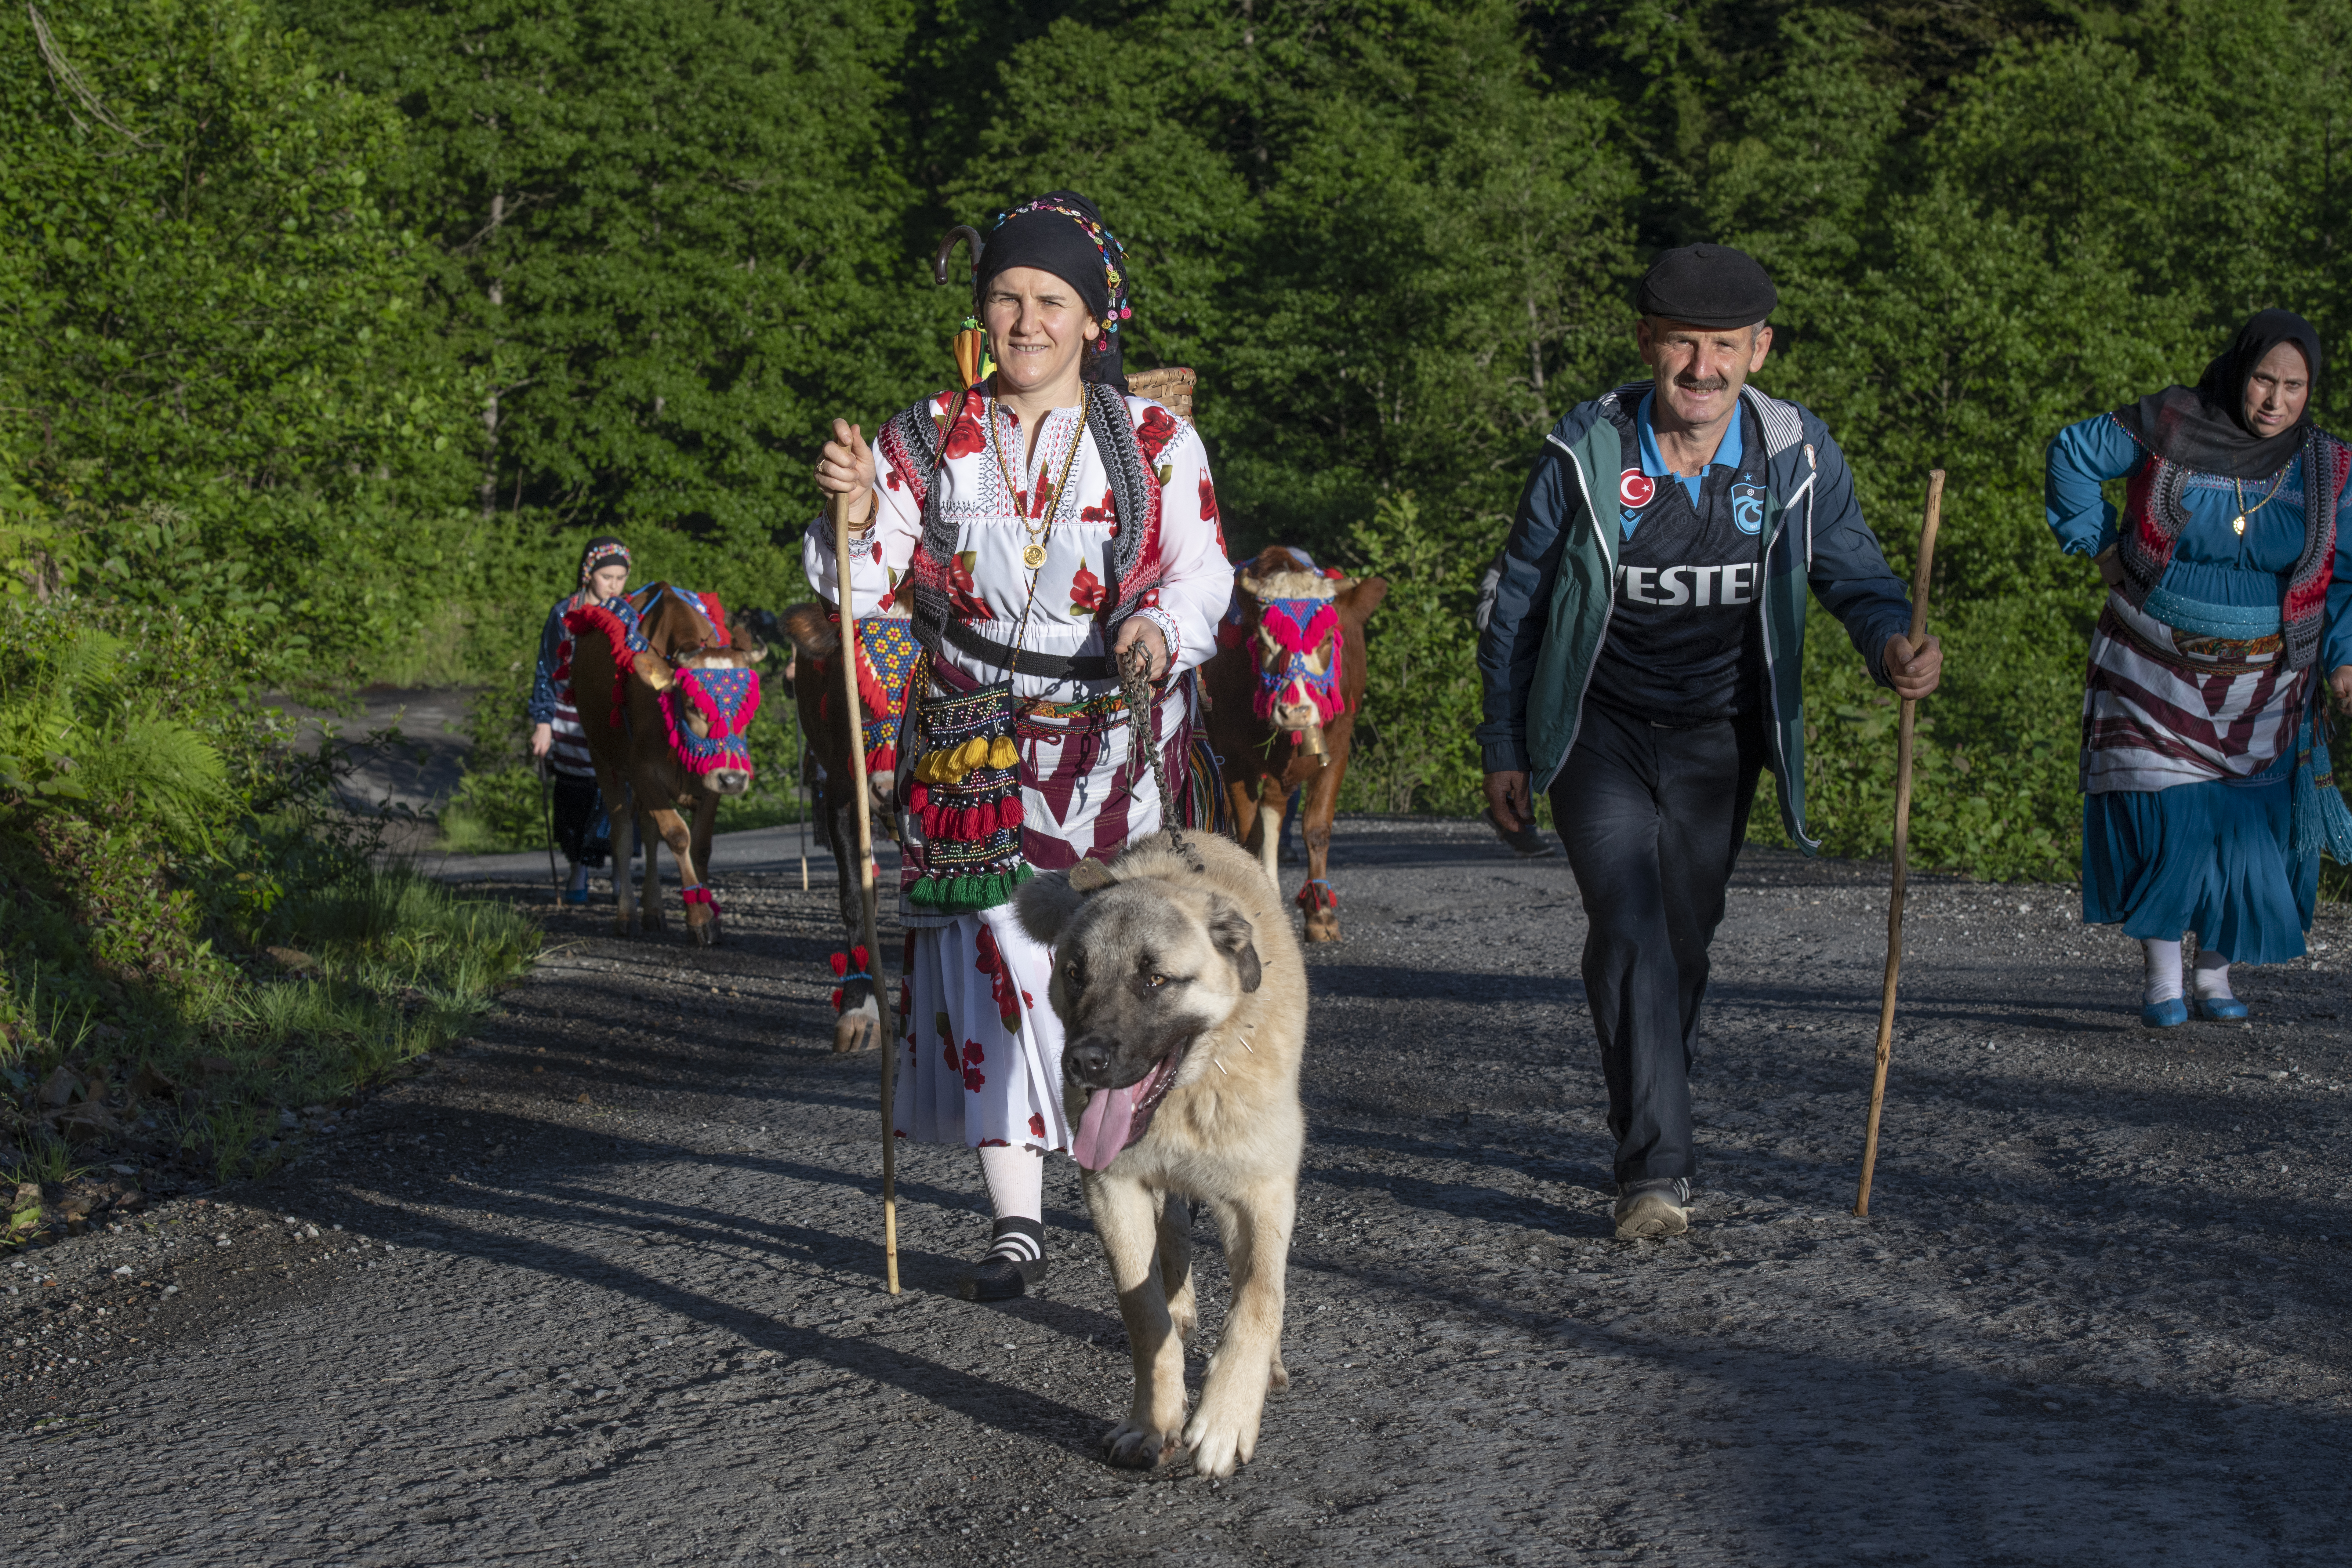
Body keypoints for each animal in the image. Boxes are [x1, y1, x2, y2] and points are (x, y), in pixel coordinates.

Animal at [564, 576, 767, 945]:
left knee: (646, 831)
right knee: (622, 833)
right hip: (602, 758)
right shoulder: (644, 773)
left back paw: (654, 910)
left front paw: (710, 913)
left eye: (748, 705)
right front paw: (699, 917)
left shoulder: (711, 778)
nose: (734, 781)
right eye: (693, 704)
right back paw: (628, 915)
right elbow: (676, 835)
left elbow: (700, 845)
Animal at [1016, 832, 1308, 1486]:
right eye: (1075, 973)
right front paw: (1153, 1422)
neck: (1189, 1094)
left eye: (1154, 979)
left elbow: (1259, 1299)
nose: (1084, 1063)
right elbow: (1143, 1311)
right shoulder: (1112, 1189)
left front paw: (1225, 1417)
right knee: (1172, 1241)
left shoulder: (1262, 1191)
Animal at [1204, 550, 1383, 945]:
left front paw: (1321, 914)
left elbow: (1317, 829)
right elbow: (1249, 829)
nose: (1295, 711)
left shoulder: (1339, 746)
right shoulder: (1232, 753)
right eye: (1263, 642)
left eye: (1328, 637)